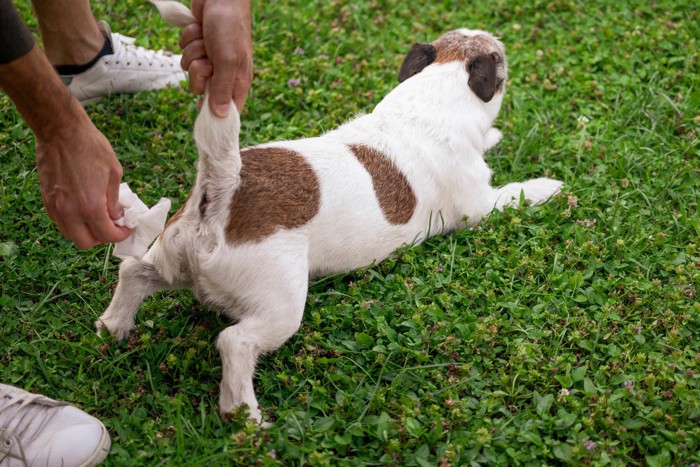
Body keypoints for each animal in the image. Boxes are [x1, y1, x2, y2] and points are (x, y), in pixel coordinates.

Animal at [95, 0, 564, 424]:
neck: (431, 95)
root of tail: (223, 188)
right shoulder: (478, 206)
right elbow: (515, 194)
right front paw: (547, 186)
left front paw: (495, 137)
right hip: (279, 302)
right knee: (234, 342)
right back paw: (244, 416)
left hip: (174, 257)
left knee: (134, 271)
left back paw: (113, 326)